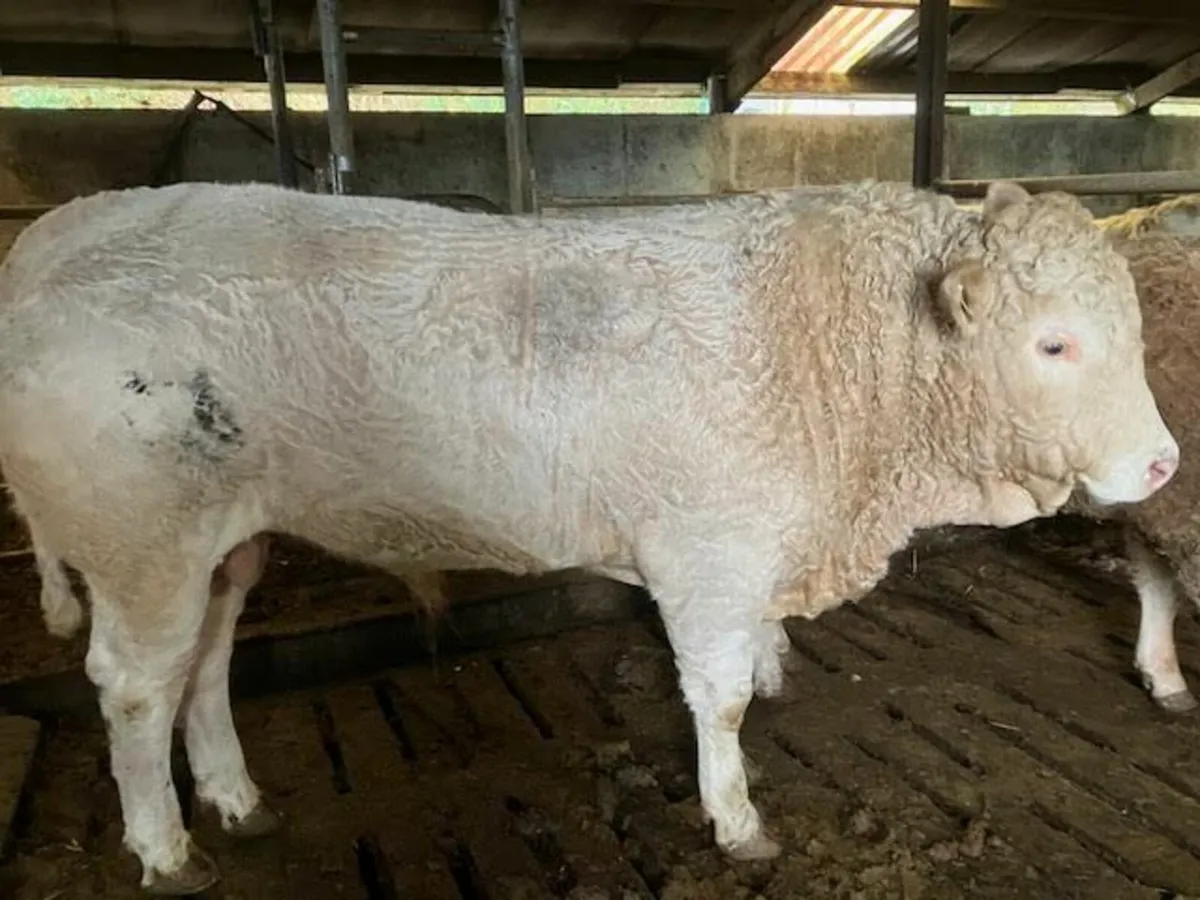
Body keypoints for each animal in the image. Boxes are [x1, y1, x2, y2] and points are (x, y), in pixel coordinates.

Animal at [0, 178, 1178, 894]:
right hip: (141, 545)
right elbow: (721, 698)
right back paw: (163, 844)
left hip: (220, 545)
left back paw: (235, 798)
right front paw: (736, 820)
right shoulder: (706, 554)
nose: (1166, 464)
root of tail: (56, 244)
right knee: (135, 688)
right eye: (1054, 343)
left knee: (203, 664)